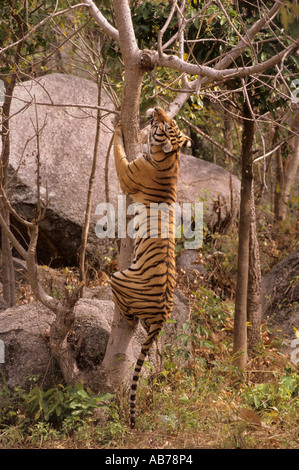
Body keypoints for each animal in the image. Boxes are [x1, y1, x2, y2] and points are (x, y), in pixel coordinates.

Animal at [110, 107, 192, 430]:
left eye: (167, 125)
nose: (157, 109)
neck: (170, 157)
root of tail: (163, 317)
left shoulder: (127, 173)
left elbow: (118, 150)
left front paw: (118, 124)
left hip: (120, 278)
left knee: (127, 309)